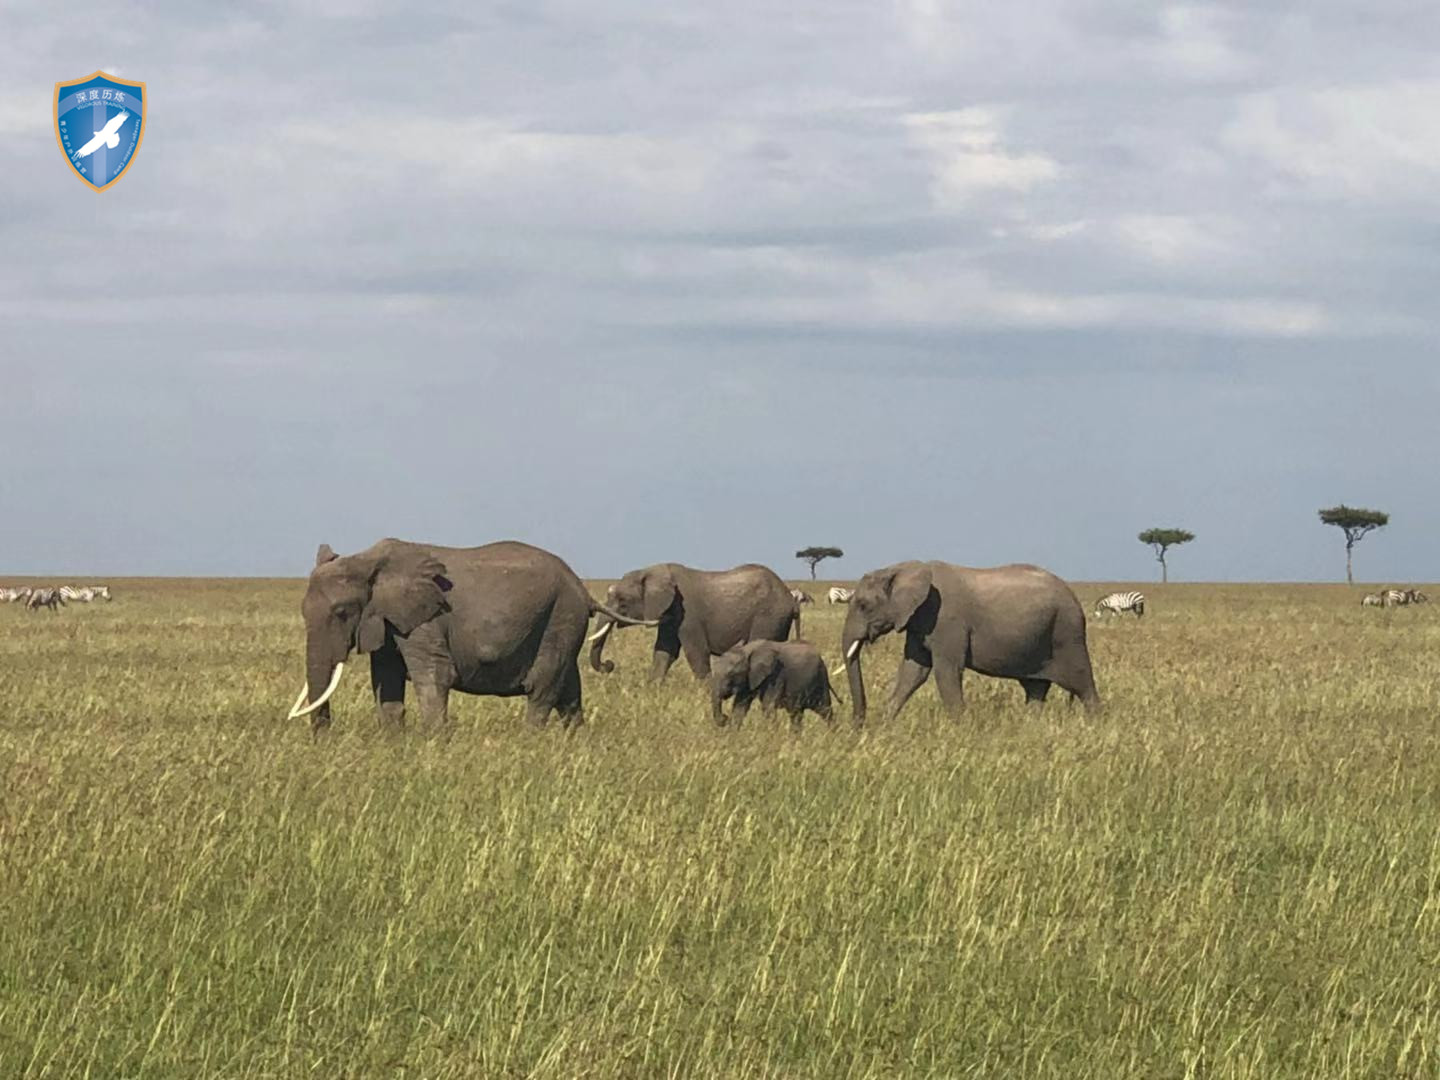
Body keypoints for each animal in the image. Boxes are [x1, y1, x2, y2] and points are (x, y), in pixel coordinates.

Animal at [285, 541, 653, 737]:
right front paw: (395, 743)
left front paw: (433, 744)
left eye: (342, 612)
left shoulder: (426, 619)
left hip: (561, 617)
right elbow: (386, 682)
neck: (368, 560)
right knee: (569, 692)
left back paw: (530, 745)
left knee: (542, 689)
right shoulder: (390, 623)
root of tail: (583, 589)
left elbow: (433, 676)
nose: (324, 741)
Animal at [584, 561, 800, 679]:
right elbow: (664, 652)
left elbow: (696, 653)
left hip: (768, 617)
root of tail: (790, 597)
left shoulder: (688, 615)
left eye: (622, 601)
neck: (650, 571)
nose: (609, 665)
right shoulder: (671, 615)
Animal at [711, 642, 840, 737]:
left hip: (820, 680)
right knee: (796, 714)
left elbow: (768, 706)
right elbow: (740, 707)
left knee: (825, 710)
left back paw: (833, 737)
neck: (747, 650)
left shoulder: (776, 675)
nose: (724, 717)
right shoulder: (749, 679)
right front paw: (733, 737)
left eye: (731, 674)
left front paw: (771, 737)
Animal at [840, 558, 1094, 728]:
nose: (857, 726)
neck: (900, 569)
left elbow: (946, 672)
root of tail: (1073, 596)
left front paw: (960, 730)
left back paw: (1096, 724)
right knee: (1035, 689)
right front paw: (884, 726)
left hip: (1067, 632)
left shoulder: (946, 620)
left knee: (1083, 685)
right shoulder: (918, 622)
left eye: (863, 605)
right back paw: (1030, 727)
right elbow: (913, 672)